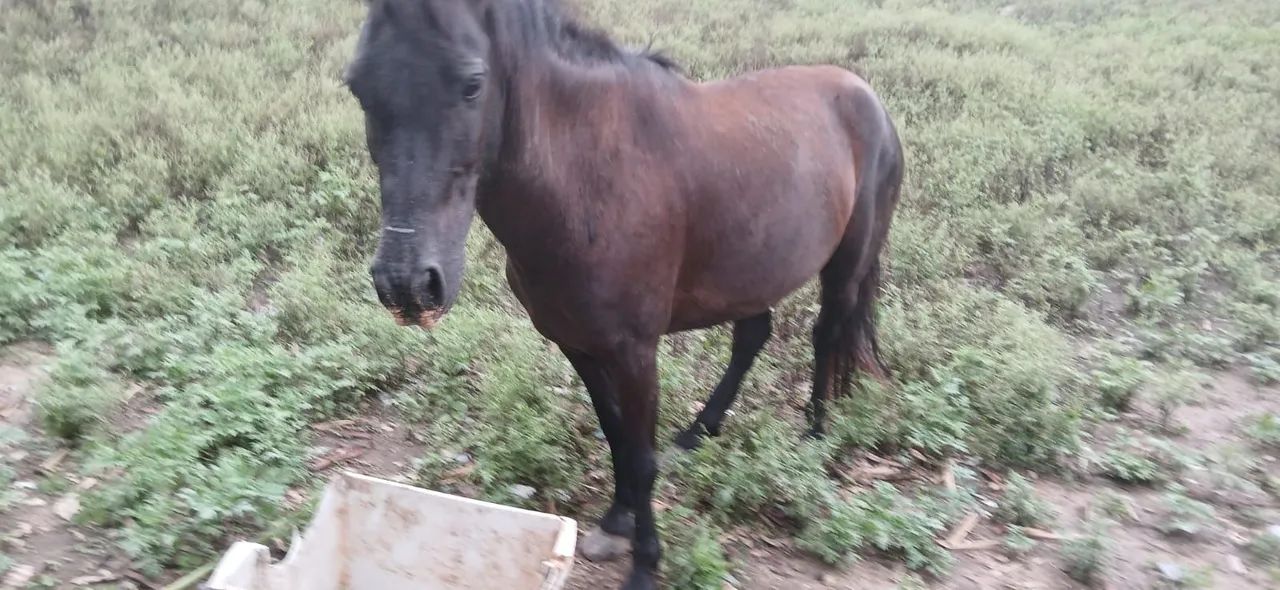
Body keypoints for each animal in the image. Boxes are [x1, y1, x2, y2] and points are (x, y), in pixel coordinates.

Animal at [345, 0, 903, 587]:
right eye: (358, 86)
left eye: (473, 83)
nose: (407, 283)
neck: (587, 181)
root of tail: (864, 95)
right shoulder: (578, 343)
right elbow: (615, 433)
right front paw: (617, 519)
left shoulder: (636, 351)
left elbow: (640, 455)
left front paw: (645, 562)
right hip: (753, 269)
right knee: (753, 334)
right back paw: (698, 432)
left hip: (845, 264)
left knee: (827, 334)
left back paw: (814, 435)